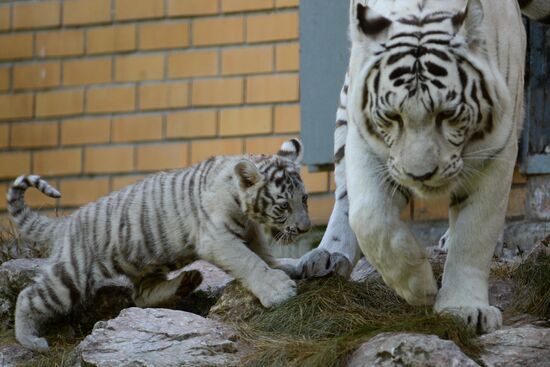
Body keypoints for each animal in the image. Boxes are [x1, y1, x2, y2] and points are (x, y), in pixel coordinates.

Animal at [288, 0, 550, 334]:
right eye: (391, 115)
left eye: (448, 113)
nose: (420, 175)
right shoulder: (364, 139)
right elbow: (370, 218)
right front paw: (418, 286)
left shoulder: (495, 152)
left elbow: (473, 236)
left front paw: (465, 308)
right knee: (346, 198)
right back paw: (328, 256)